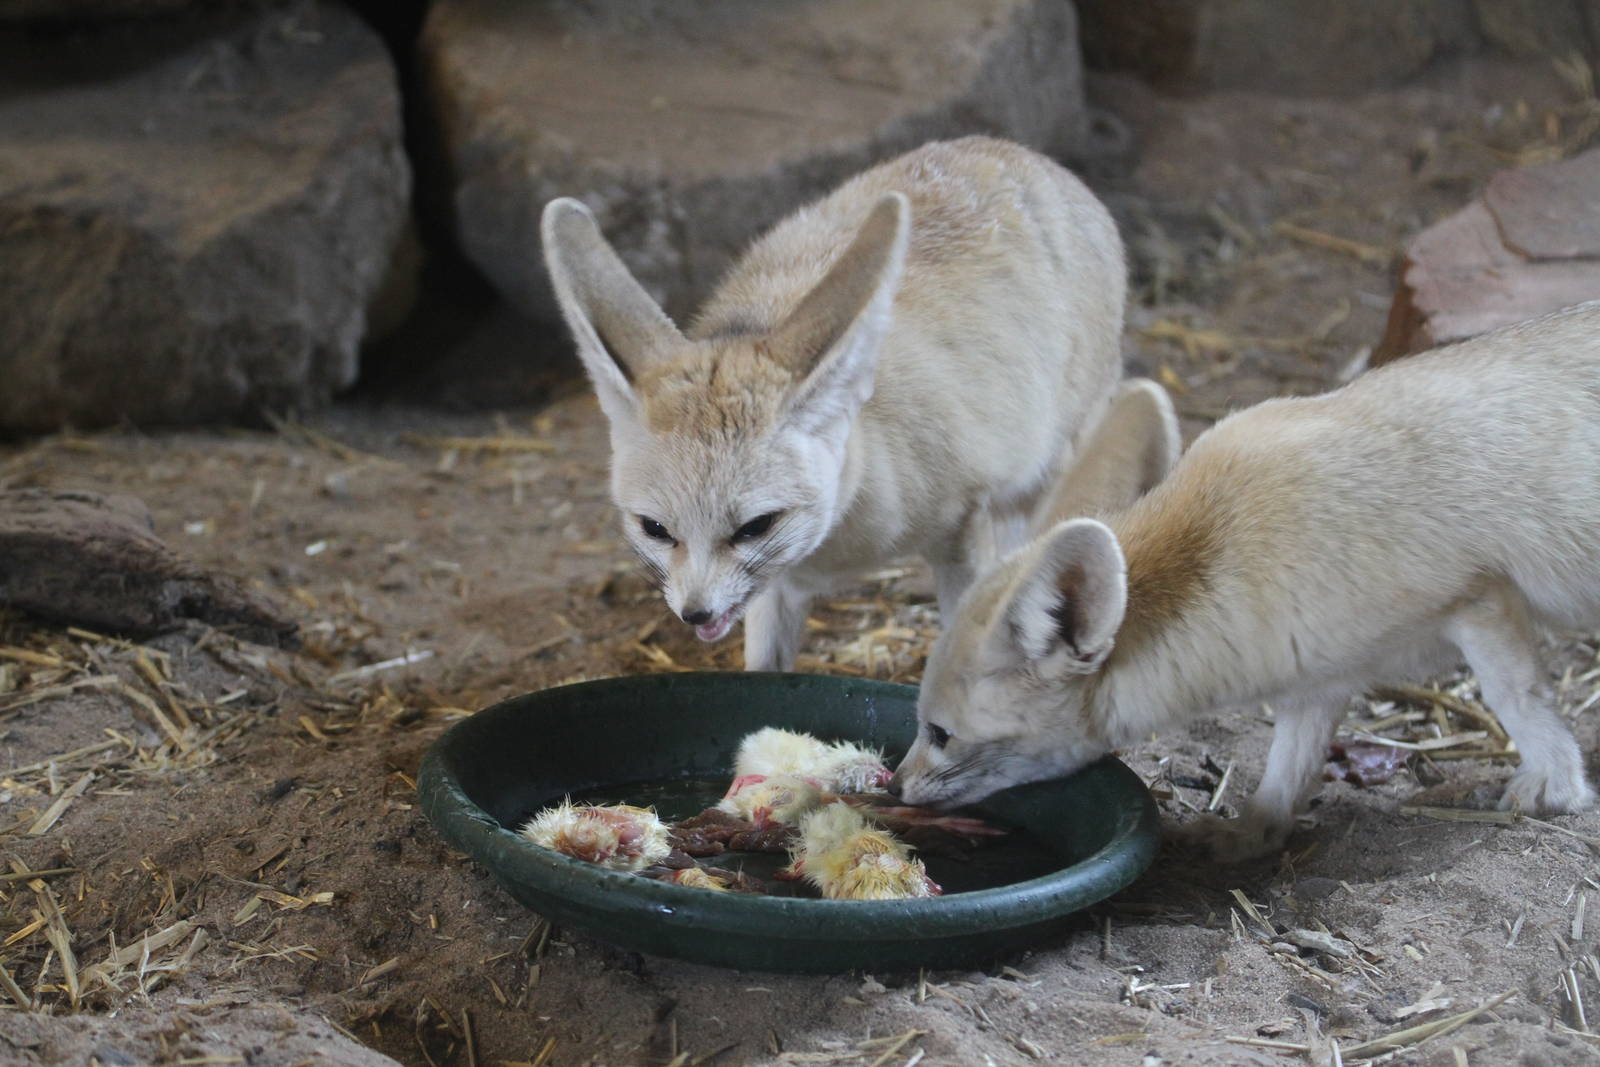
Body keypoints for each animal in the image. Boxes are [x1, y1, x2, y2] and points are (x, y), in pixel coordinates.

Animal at [540, 137, 1125, 670]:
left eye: (755, 526)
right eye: (655, 529)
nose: (695, 614)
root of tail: (1016, 151)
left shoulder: (963, 523)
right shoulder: (775, 586)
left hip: (1034, 484)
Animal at [890, 301, 1600, 862]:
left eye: (940, 734)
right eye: (920, 726)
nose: (893, 784)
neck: (1229, 544)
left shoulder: (1478, 598)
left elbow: (1516, 697)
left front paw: (1557, 786)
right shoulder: (1319, 674)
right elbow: (1289, 766)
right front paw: (1250, 834)